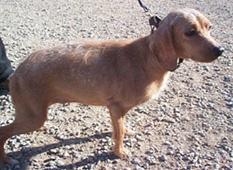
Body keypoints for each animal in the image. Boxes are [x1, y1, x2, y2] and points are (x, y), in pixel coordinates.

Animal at [0, 8, 224, 166]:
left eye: (210, 27)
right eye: (190, 32)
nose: (220, 50)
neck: (149, 57)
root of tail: (18, 71)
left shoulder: (118, 109)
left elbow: (121, 128)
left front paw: (125, 133)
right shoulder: (116, 106)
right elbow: (119, 134)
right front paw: (119, 152)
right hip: (32, 117)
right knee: (3, 132)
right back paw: (6, 159)